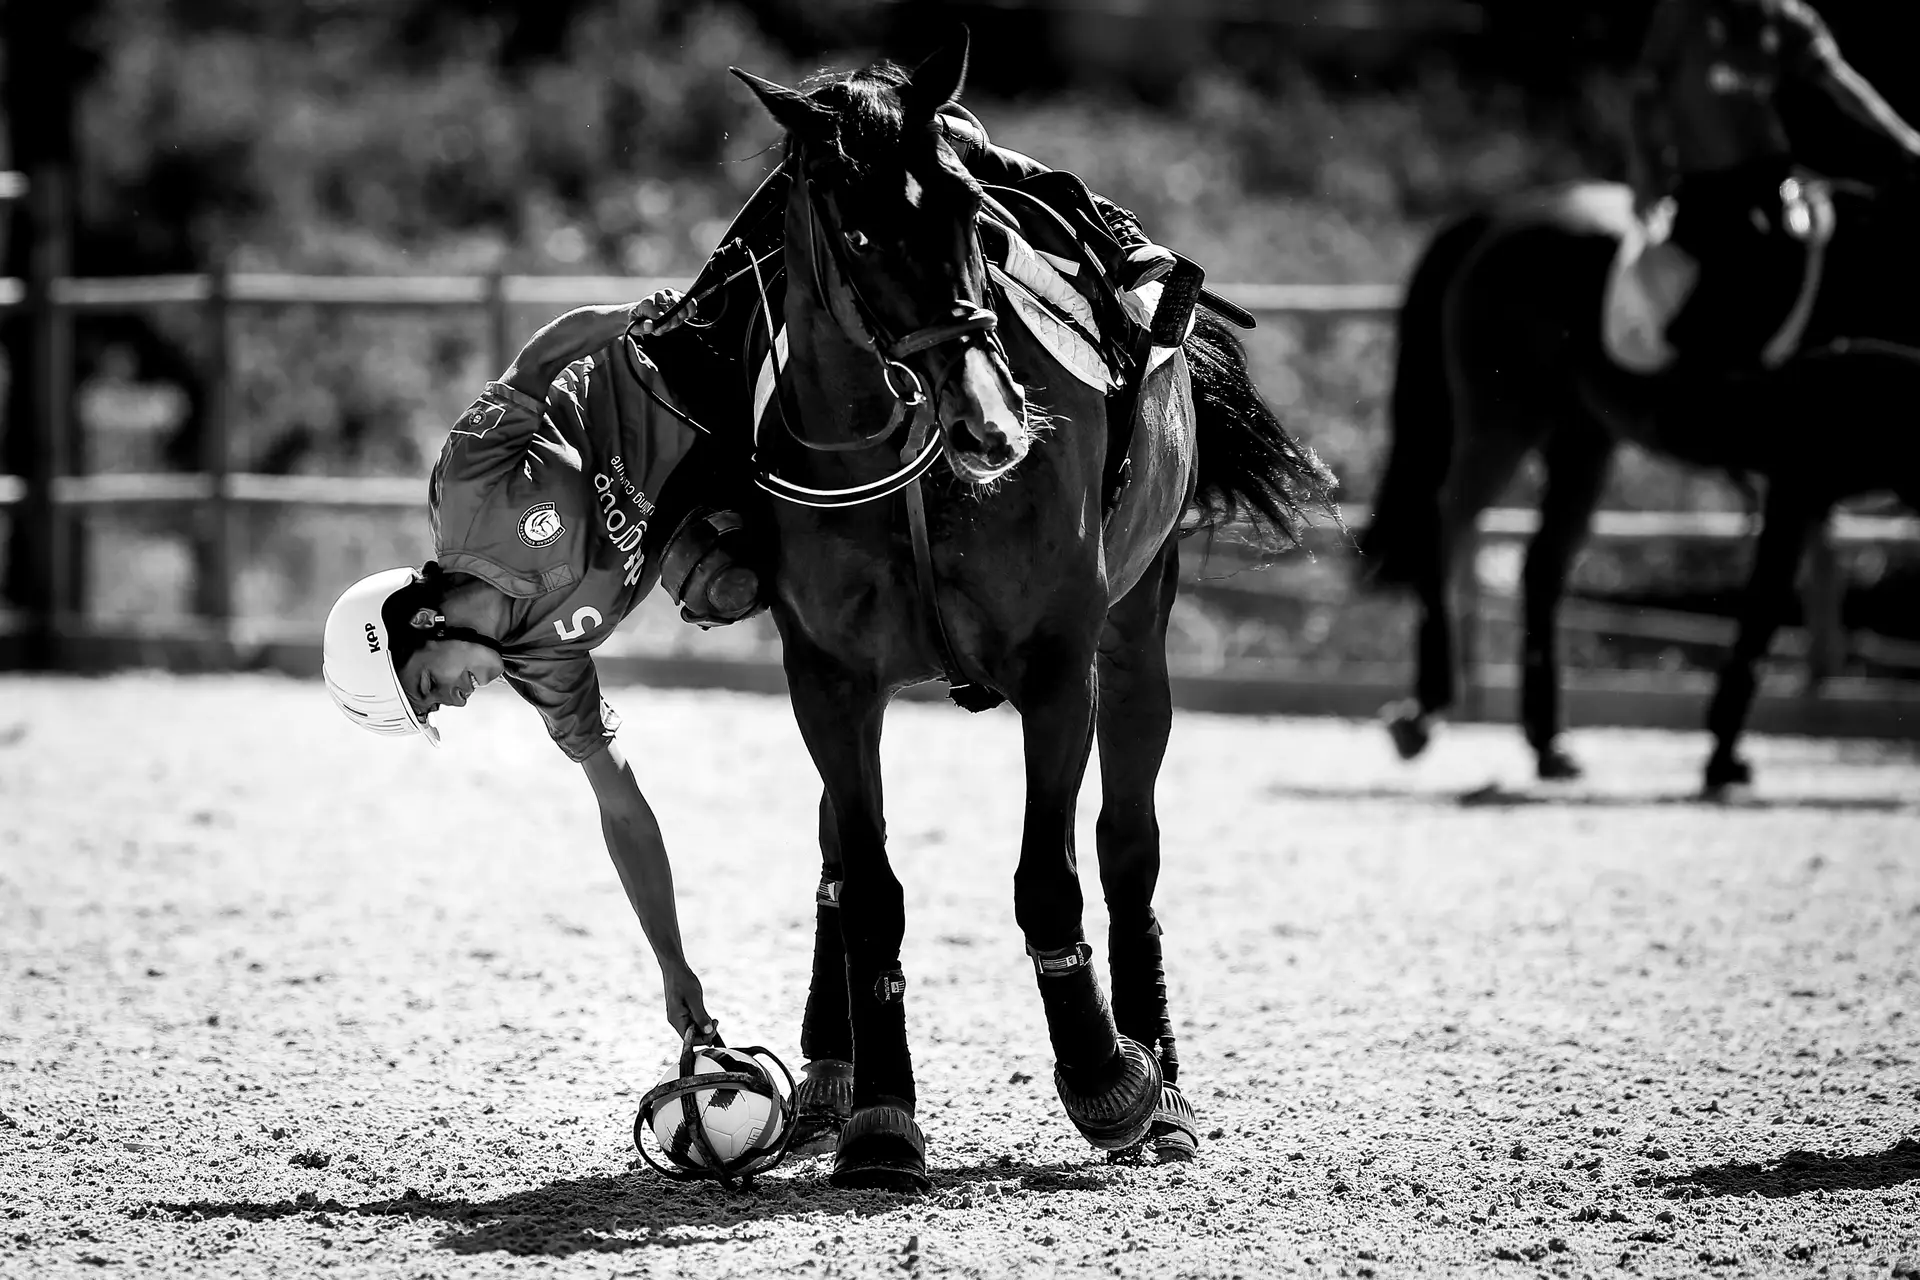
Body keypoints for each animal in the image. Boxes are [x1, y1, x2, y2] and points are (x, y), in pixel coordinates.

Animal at [725, 47, 1328, 1189]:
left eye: (972, 213)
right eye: (856, 234)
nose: (988, 421)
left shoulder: (1058, 670)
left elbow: (1051, 878)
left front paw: (1107, 1078)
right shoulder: (826, 676)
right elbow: (869, 886)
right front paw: (881, 1116)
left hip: (1136, 635)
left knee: (1127, 844)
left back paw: (1164, 1083)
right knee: (838, 855)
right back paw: (830, 1070)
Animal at [1359, 181, 1920, 794]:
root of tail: (1506, 214)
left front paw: (1723, 754)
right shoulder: (1800, 478)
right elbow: (1763, 609)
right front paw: (1722, 756)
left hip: (1582, 434)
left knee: (1542, 565)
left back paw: (1548, 743)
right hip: (1506, 415)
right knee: (1446, 526)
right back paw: (1426, 714)